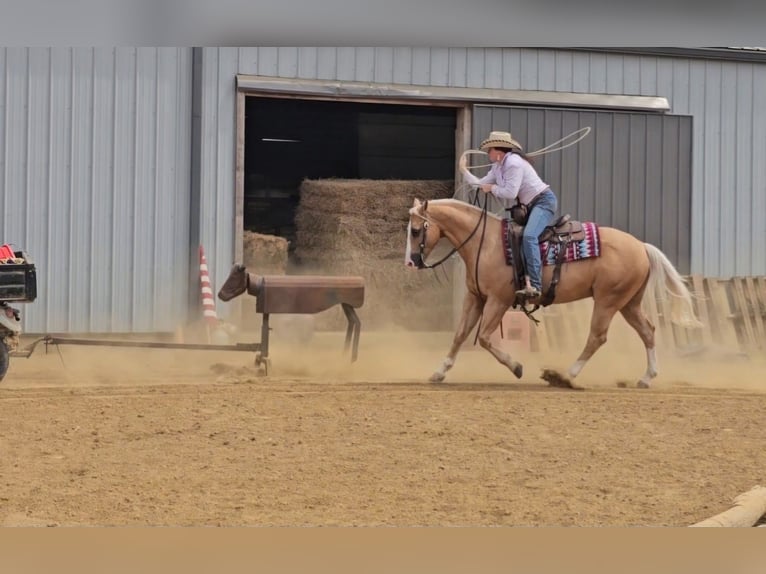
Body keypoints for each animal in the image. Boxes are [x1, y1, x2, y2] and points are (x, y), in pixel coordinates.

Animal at [404, 199, 704, 392]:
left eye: (416, 230)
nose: (411, 262)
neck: (485, 243)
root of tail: (641, 246)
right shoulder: (475, 298)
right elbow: (459, 335)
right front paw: (439, 372)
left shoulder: (498, 300)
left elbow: (486, 339)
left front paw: (517, 366)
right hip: (628, 302)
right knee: (648, 332)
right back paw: (646, 378)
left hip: (607, 301)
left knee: (597, 337)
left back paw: (564, 376)